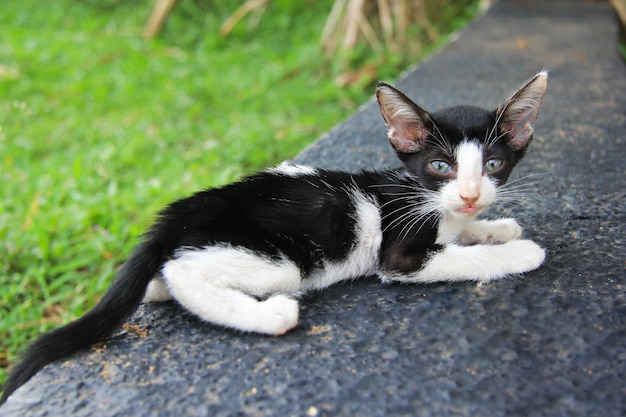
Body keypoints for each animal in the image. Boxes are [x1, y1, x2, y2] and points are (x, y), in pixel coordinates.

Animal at [0, 71, 544, 404]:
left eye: (493, 165)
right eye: (440, 166)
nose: (471, 194)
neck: (419, 194)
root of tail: (182, 210)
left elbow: (464, 230)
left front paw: (494, 226)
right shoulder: (401, 251)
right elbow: (454, 257)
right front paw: (518, 250)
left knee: (162, 276)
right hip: (281, 261)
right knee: (186, 274)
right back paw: (270, 315)